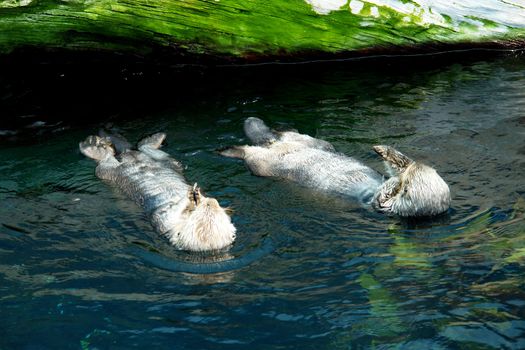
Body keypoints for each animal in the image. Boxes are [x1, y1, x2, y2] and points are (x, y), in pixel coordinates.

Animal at [79, 132, 235, 252]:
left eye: (208, 207)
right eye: (213, 204)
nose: (211, 200)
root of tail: (129, 153)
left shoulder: (165, 223)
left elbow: (171, 213)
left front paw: (187, 197)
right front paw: (194, 193)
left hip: (108, 171)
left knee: (107, 158)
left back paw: (91, 144)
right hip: (166, 159)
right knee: (143, 148)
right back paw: (156, 136)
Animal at [221, 117, 450, 216]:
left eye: (408, 186)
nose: (403, 179)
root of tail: (273, 144)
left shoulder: (383, 202)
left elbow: (387, 194)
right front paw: (389, 157)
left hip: (262, 163)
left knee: (249, 152)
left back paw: (226, 150)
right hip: (311, 142)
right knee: (283, 133)